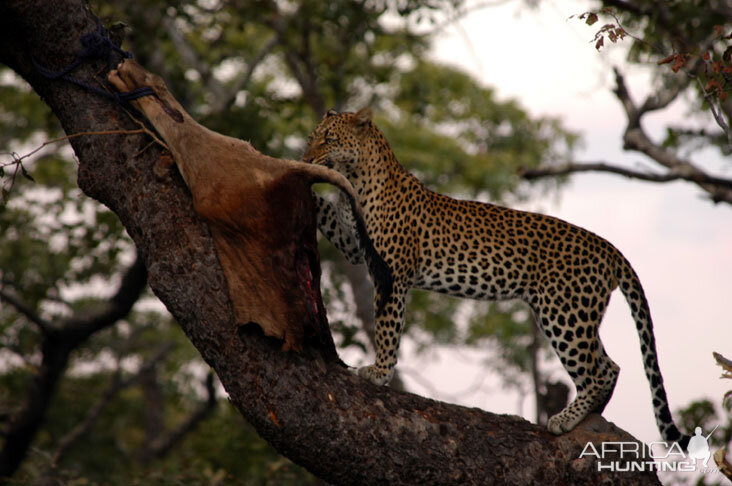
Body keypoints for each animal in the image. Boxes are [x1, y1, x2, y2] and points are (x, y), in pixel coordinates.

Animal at [300, 107, 688, 448]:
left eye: (329, 139)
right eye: (311, 137)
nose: (306, 155)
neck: (356, 178)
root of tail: (608, 247)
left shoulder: (391, 271)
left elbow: (386, 326)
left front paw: (379, 372)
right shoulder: (352, 245)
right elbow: (328, 216)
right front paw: (295, 173)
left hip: (564, 314)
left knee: (598, 371)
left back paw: (566, 418)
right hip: (576, 313)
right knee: (609, 366)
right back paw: (591, 416)